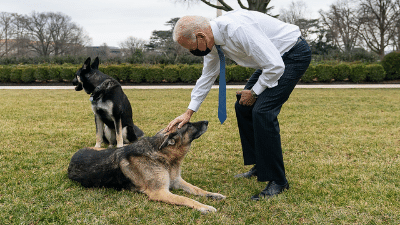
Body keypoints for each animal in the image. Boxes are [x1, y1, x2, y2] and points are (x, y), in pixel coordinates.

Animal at [68, 120, 225, 214]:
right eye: (190, 125)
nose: (207, 122)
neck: (162, 154)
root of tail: (72, 159)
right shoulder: (160, 192)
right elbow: (186, 199)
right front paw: (204, 207)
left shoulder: (176, 181)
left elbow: (197, 189)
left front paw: (213, 194)